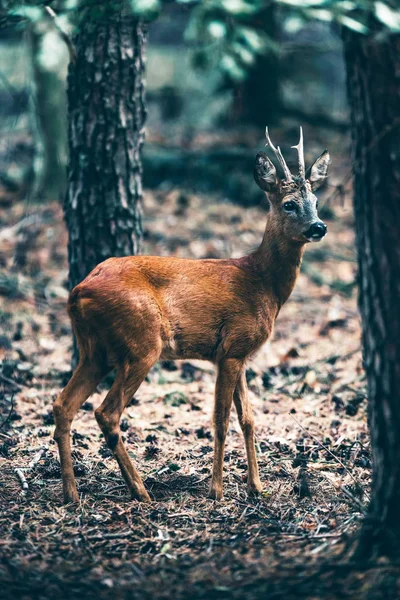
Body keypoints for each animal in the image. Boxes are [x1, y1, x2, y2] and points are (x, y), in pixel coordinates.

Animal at [52, 129, 328, 504]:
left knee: (63, 404)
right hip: (142, 342)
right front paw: (217, 491)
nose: (318, 227)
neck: (262, 283)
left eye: (316, 201)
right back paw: (140, 490)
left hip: (94, 349)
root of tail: (78, 291)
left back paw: (71, 493)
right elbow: (221, 419)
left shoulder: (239, 353)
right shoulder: (231, 347)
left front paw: (257, 488)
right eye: (289, 204)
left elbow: (249, 418)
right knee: (106, 412)